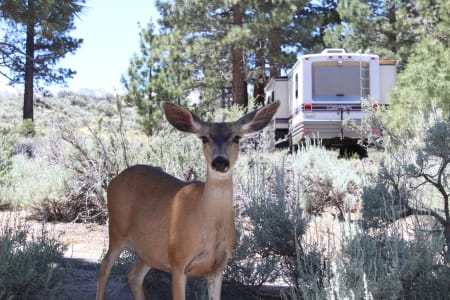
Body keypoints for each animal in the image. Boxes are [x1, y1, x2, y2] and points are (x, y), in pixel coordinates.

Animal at [95, 99, 280, 298]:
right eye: (204, 138)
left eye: (237, 138)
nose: (220, 162)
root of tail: (114, 180)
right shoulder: (178, 260)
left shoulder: (218, 267)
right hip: (117, 229)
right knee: (105, 266)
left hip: (148, 249)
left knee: (134, 275)